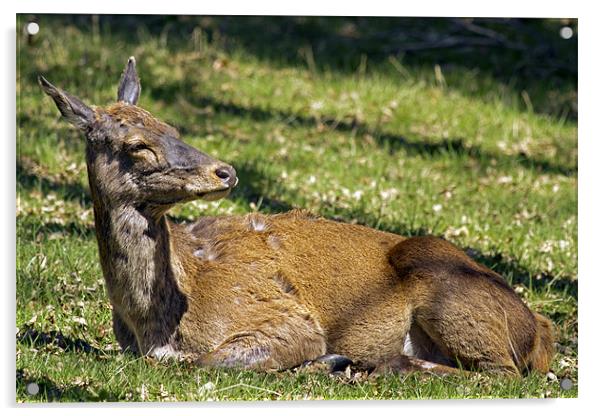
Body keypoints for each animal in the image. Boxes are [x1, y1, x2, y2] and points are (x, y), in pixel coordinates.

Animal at [38, 57, 552, 376]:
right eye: (138, 144)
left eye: (173, 127)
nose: (225, 171)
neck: (155, 323)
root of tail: (539, 332)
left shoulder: (290, 319)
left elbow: (206, 360)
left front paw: (324, 360)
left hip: (449, 291)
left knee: (500, 373)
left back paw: (377, 366)